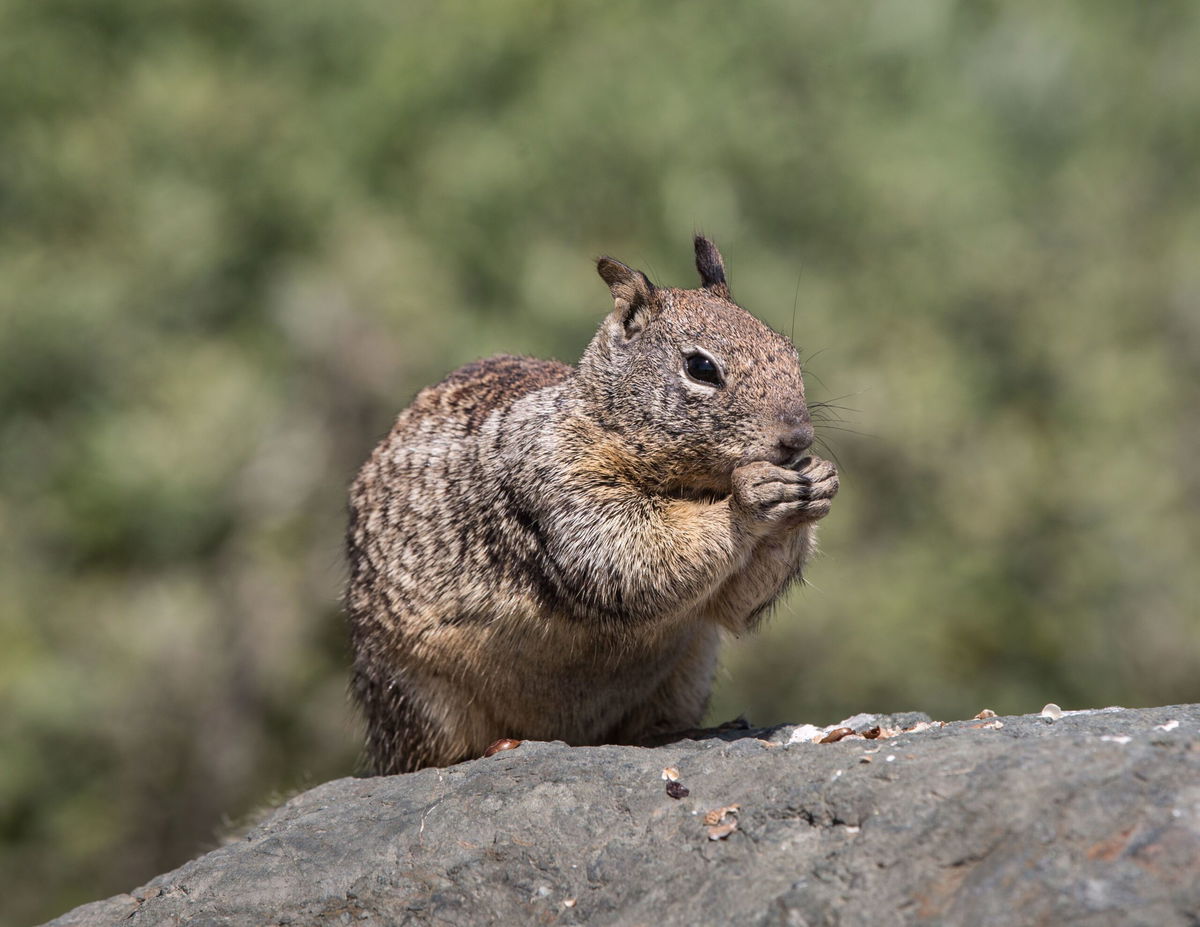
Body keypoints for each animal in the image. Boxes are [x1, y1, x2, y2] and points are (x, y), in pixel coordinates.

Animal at [343, 235, 840, 773]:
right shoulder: (559, 482)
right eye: (701, 368)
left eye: (788, 349)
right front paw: (751, 496)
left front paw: (819, 480)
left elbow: (736, 605)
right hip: (419, 698)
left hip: (690, 669)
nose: (798, 438)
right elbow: (630, 551)